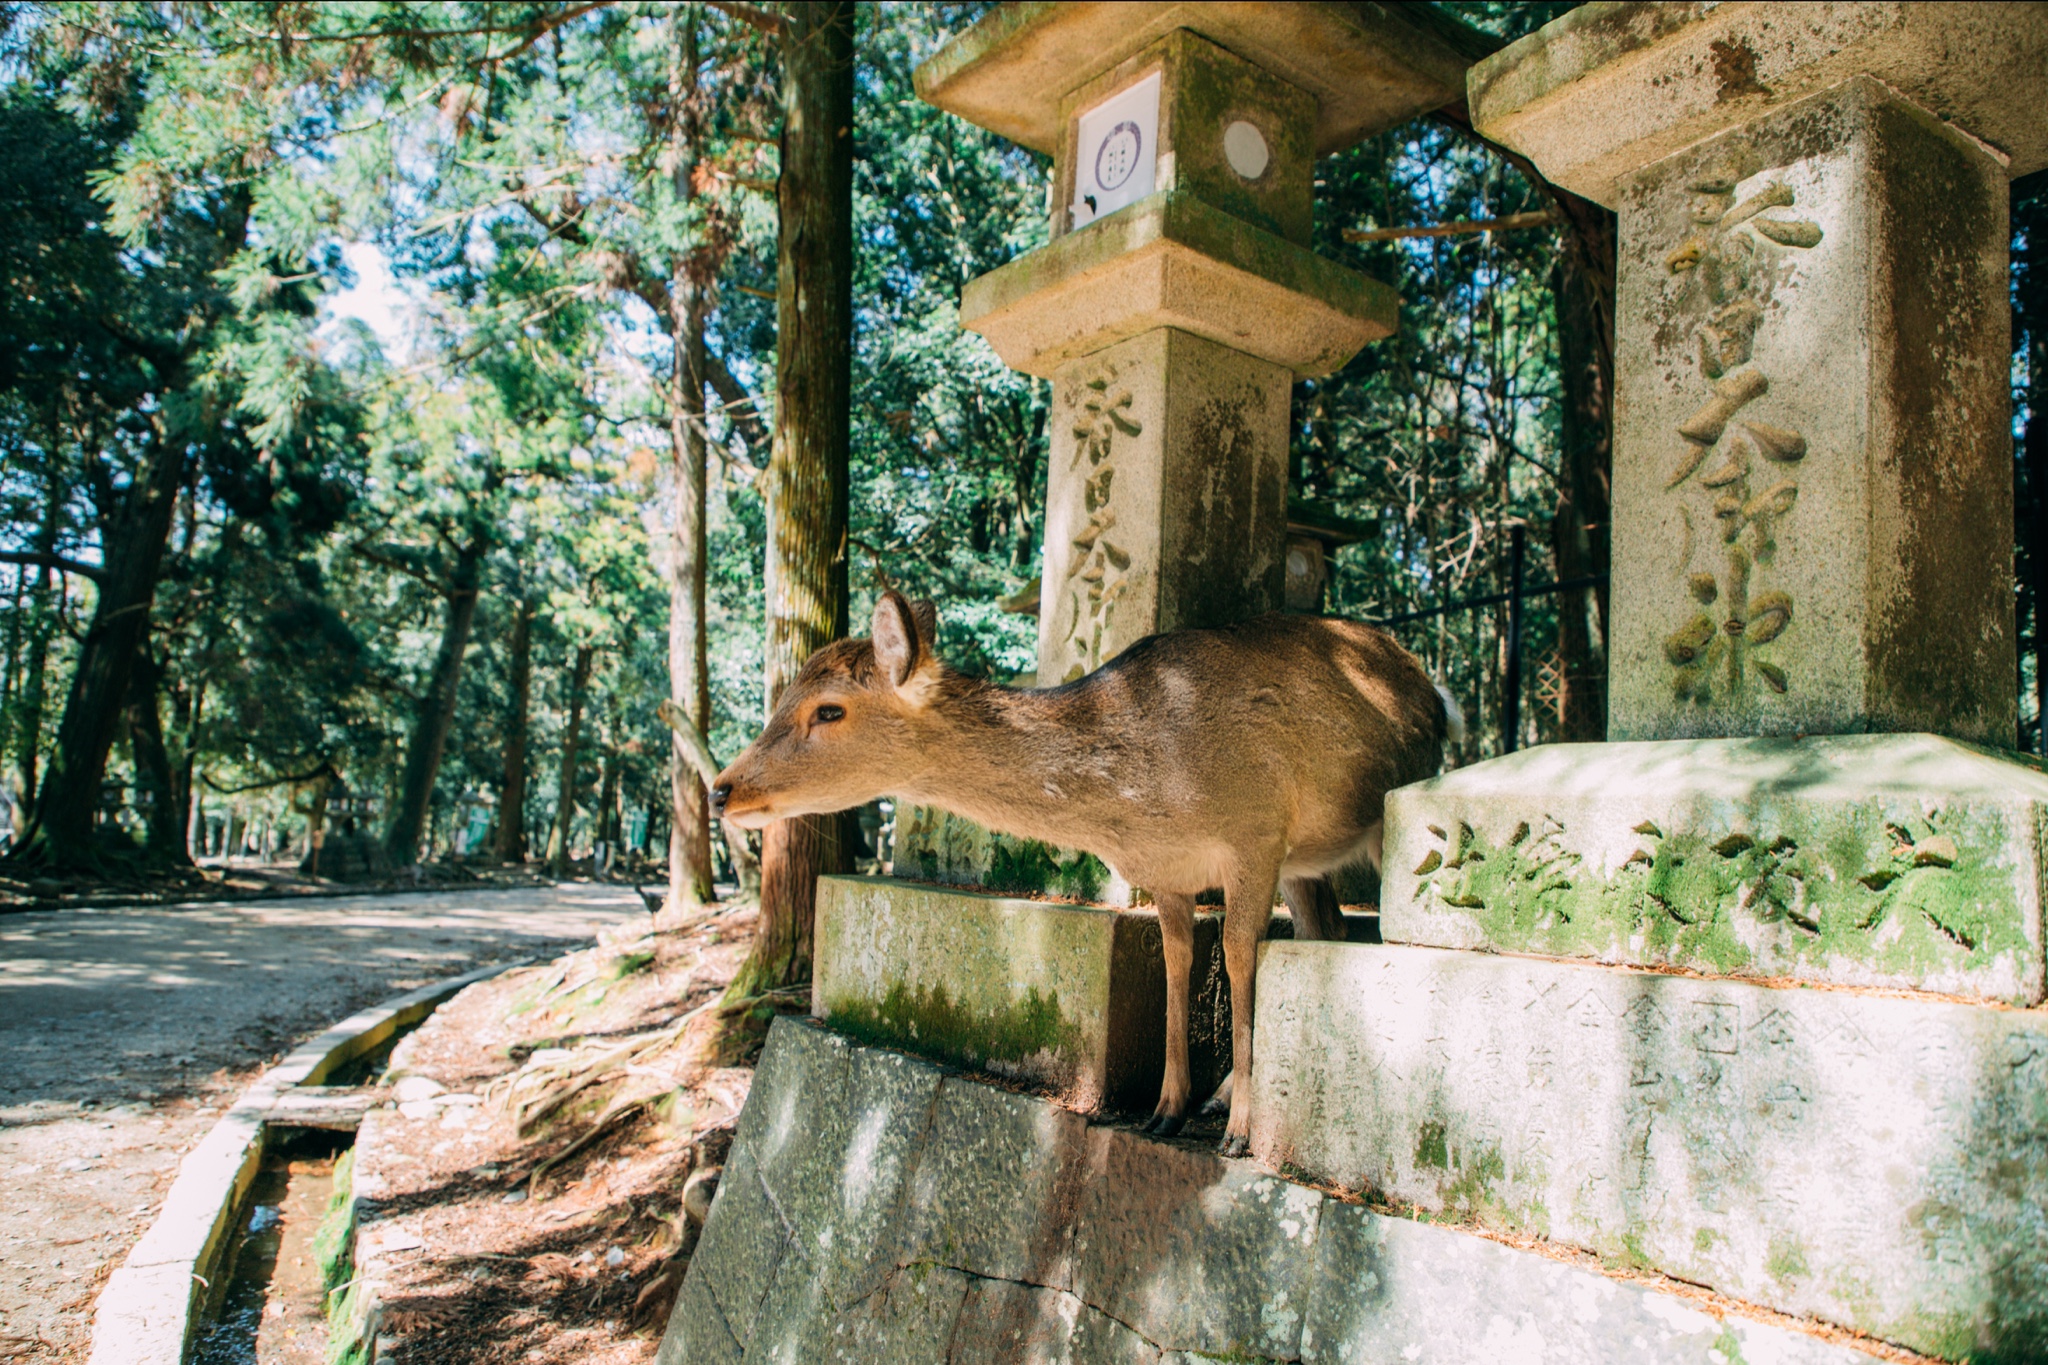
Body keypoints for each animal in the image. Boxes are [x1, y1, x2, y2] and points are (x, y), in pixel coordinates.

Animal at [716, 589, 1458, 1154]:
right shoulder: (1169, 869)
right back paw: (1214, 1098)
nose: (724, 789)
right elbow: (1178, 961)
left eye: (829, 708)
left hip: (1378, 817)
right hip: (1307, 860)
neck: (1143, 795)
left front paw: (1243, 1133)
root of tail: (1435, 688)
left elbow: (1240, 954)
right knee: (1319, 928)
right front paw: (1167, 1109)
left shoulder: (1256, 833)